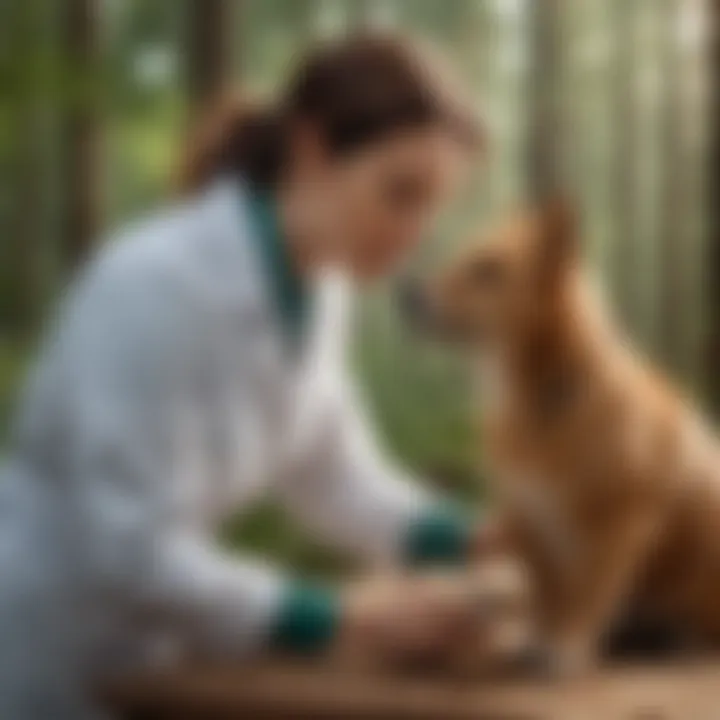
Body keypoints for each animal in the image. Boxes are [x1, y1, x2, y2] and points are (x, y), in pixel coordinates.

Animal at [402, 202, 720, 676]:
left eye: (489, 269)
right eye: (464, 257)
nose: (407, 294)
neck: (540, 401)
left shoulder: (620, 524)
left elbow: (587, 597)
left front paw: (566, 648)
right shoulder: (527, 519)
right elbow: (548, 595)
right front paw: (538, 639)